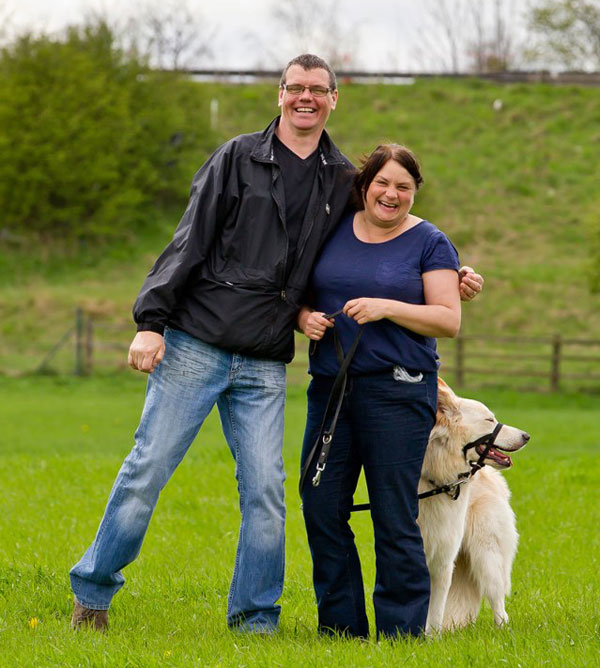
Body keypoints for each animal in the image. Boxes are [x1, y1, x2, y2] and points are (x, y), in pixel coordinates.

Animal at [418, 378, 528, 636]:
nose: (526, 436)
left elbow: (434, 612)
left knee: (499, 604)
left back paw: (502, 632)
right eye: (489, 420)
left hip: (487, 555)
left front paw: (430, 639)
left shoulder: (443, 557)